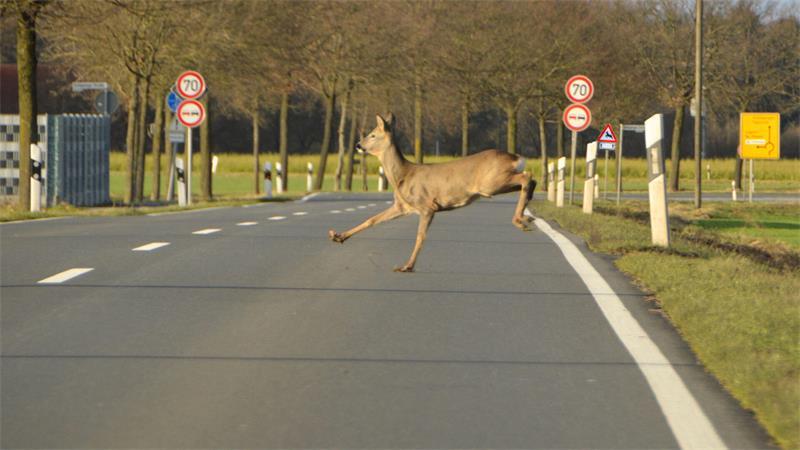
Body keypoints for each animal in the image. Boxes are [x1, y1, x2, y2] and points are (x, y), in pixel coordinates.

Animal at [328, 113, 536, 273]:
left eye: (372, 135)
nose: (357, 145)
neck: (403, 175)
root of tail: (515, 157)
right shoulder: (402, 206)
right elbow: (371, 220)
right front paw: (338, 236)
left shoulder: (427, 206)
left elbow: (420, 236)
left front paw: (407, 266)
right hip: (497, 183)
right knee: (529, 181)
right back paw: (526, 217)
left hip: (489, 183)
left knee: (527, 176)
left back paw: (520, 220)